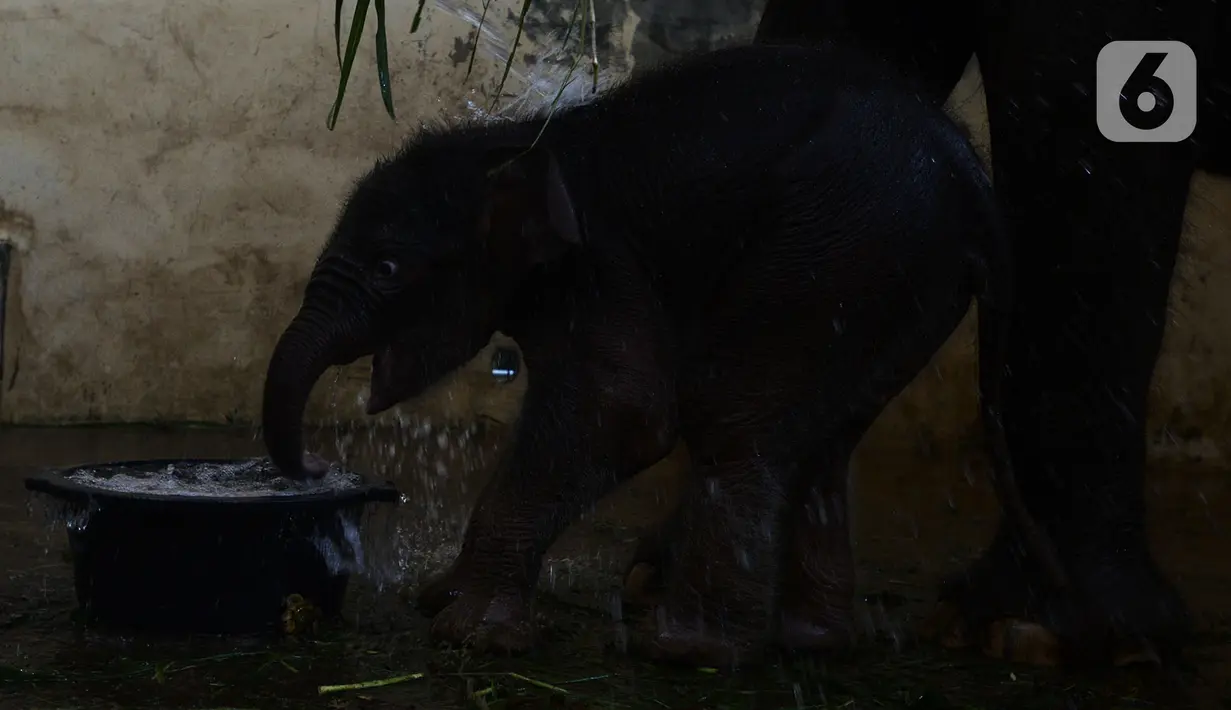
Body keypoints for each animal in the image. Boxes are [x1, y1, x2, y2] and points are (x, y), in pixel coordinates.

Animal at [261, 40, 1065, 666]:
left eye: (388, 268)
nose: (314, 469)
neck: (520, 139)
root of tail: (973, 179)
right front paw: (444, 604)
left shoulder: (606, 266)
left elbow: (622, 415)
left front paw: (470, 634)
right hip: (903, 280)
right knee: (821, 437)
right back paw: (810, 641)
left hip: (844, 248)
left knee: (733, 419)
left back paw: (688, 650)